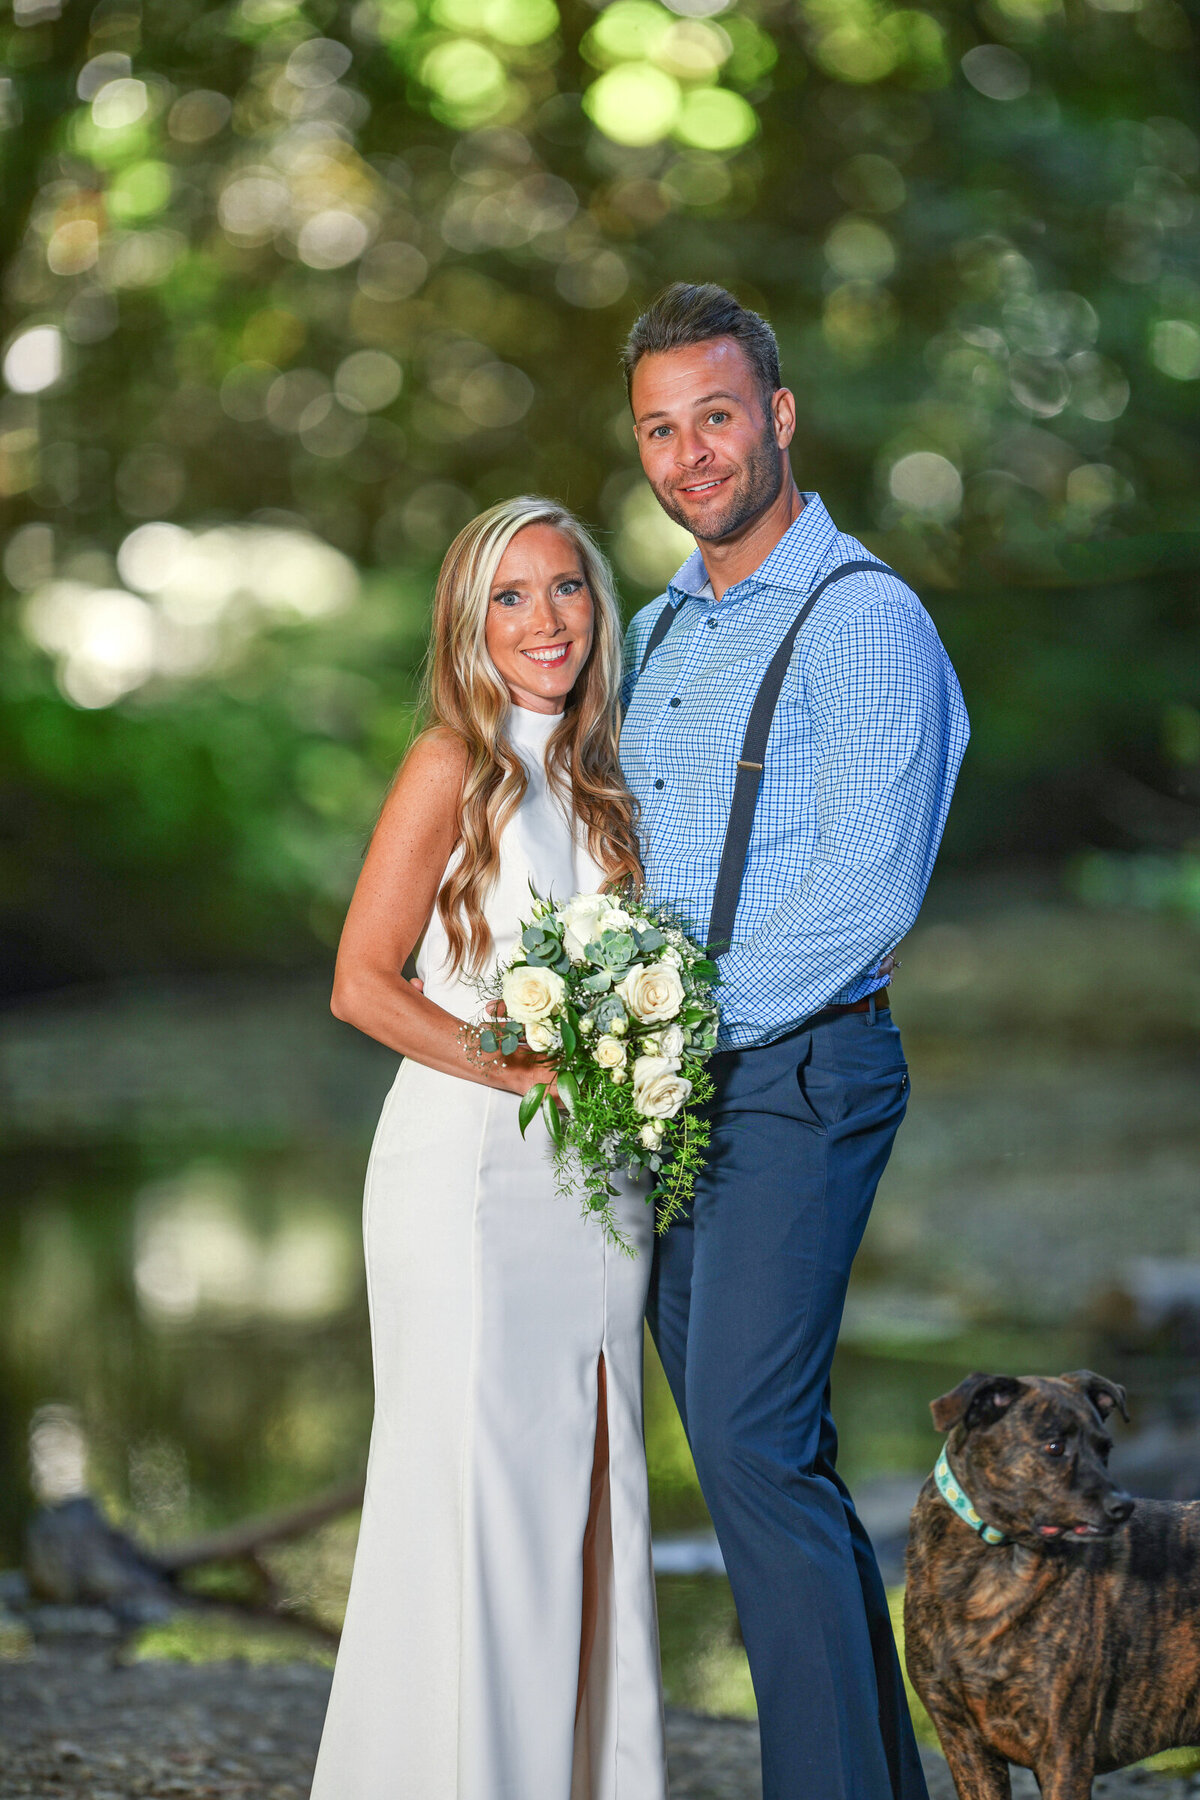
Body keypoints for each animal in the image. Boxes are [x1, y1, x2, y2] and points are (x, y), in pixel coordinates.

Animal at [906, 1368, 1200, 1792]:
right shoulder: (965, 1743)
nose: (1123, 1506)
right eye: (1054, 1447)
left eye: (1105, 1449)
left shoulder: (1064, 1749)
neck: (991, 1562)